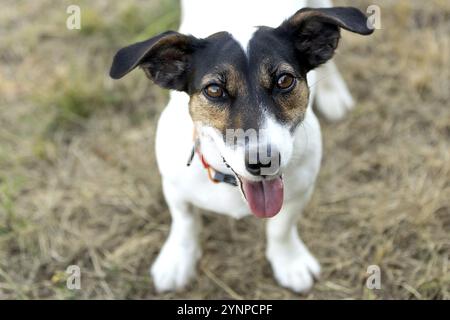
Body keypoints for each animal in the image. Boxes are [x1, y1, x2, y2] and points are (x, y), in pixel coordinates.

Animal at [110, 0, 374, 292]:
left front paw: (289, 261)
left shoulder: (300, 189)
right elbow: (185, 221)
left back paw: (333, 94)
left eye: (285, 81)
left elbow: (282, 228)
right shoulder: (174, 186)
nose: (263, 161)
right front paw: (178, 261)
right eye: (214, 90)